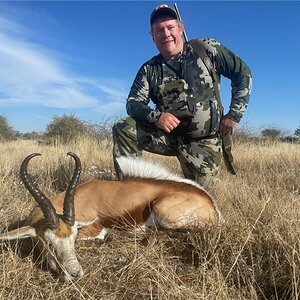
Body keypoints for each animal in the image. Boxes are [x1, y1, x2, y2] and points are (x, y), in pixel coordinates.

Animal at [0, 152, 220, 282]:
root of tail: (211, 204)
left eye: (73, 238)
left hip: (163, 212)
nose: (75, 274)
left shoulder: (93, 227)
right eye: (48, 242)